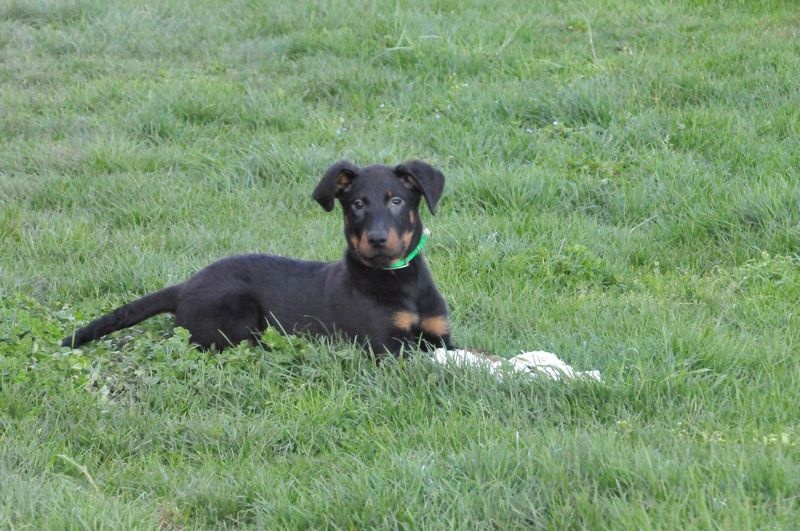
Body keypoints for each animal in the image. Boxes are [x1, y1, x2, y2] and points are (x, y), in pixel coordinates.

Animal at [61, 160, 454, 357]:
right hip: (237, 307)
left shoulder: (439, 335)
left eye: (396, 201)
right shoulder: (386, 346)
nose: (376, 240)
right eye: (358, 204)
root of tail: (185, 286)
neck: (398, 279)